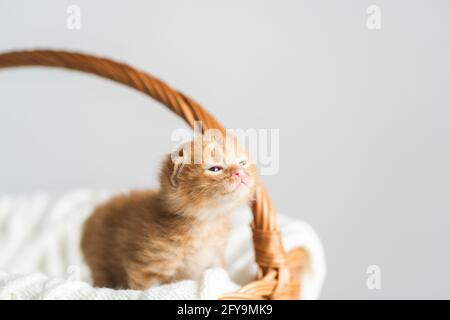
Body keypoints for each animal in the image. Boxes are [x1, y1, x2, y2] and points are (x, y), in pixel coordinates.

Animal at [81, 134, 256, 288]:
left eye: (242, 163)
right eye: (215, 169)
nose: (239, 172)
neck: (206, 222)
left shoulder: (214, 259)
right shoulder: (148, 268)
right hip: (100, 262)